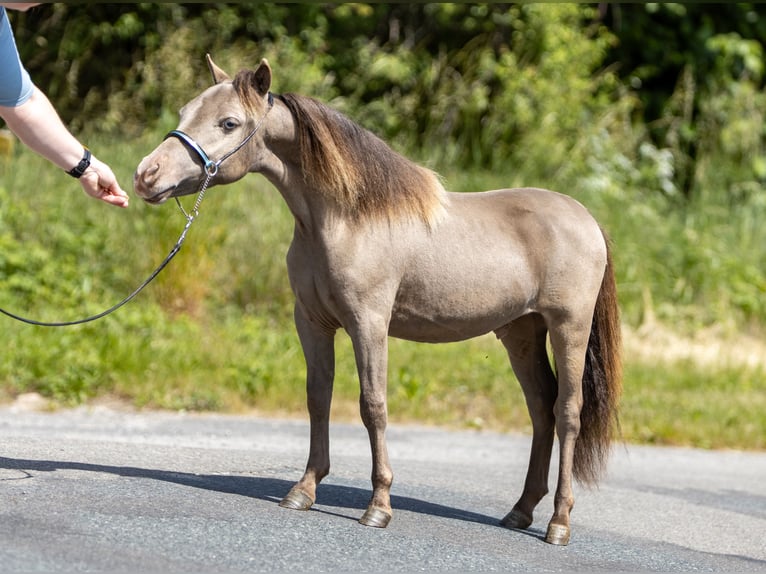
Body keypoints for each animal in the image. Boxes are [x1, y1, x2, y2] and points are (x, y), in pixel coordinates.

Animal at [134, 55, 622, 546]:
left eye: (229, 122)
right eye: (185, 111)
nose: (145, 175)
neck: (346, 219)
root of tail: (587, 219)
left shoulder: (368, 324)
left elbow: (373, 406)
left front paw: (379, 507)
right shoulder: (312, 323)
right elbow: (318, 397)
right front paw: (303, 490)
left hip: (568, 329)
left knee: (567, 413)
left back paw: (558, 523)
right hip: (521, 332)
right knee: (541, 408)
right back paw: (520, 511)